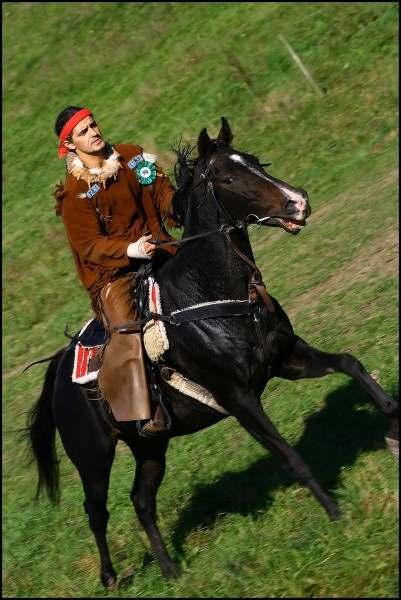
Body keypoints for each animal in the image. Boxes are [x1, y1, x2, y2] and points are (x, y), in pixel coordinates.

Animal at [25, 118, 396, 592]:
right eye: (228, 178)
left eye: (255, 162)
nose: (298, 202)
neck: (213, 294)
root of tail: (59, 373)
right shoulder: (239, 399)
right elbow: (290, 457)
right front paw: (335, 512)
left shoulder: (287, 360)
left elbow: (350, 363)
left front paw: (393, 424)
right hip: (94, 458)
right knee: (97, 511)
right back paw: (110, 578)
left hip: (150, 445)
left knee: (141, 501)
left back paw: (171, 570)